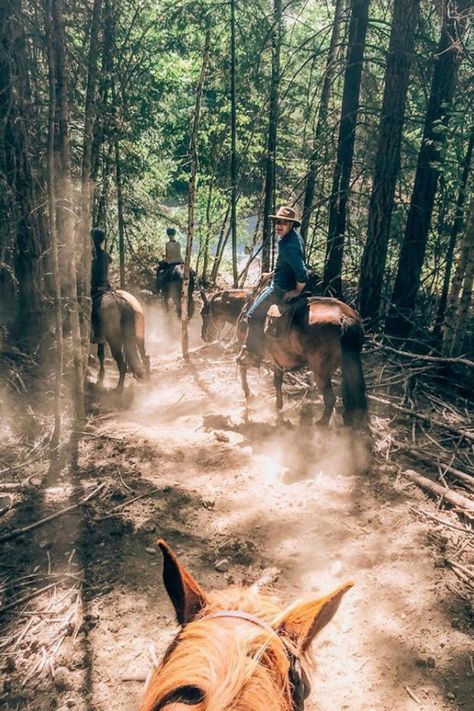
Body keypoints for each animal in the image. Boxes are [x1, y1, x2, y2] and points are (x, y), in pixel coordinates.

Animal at [202, 288, 368, 428]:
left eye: (203, 313)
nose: (204, 337)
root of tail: (344, 317)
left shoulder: (246, 349)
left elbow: (242, 366)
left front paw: (249, 393)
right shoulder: (277, 358)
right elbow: (277, 381)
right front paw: (278, 407)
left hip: (321, 372)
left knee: (330, 399)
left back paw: (322, 423)